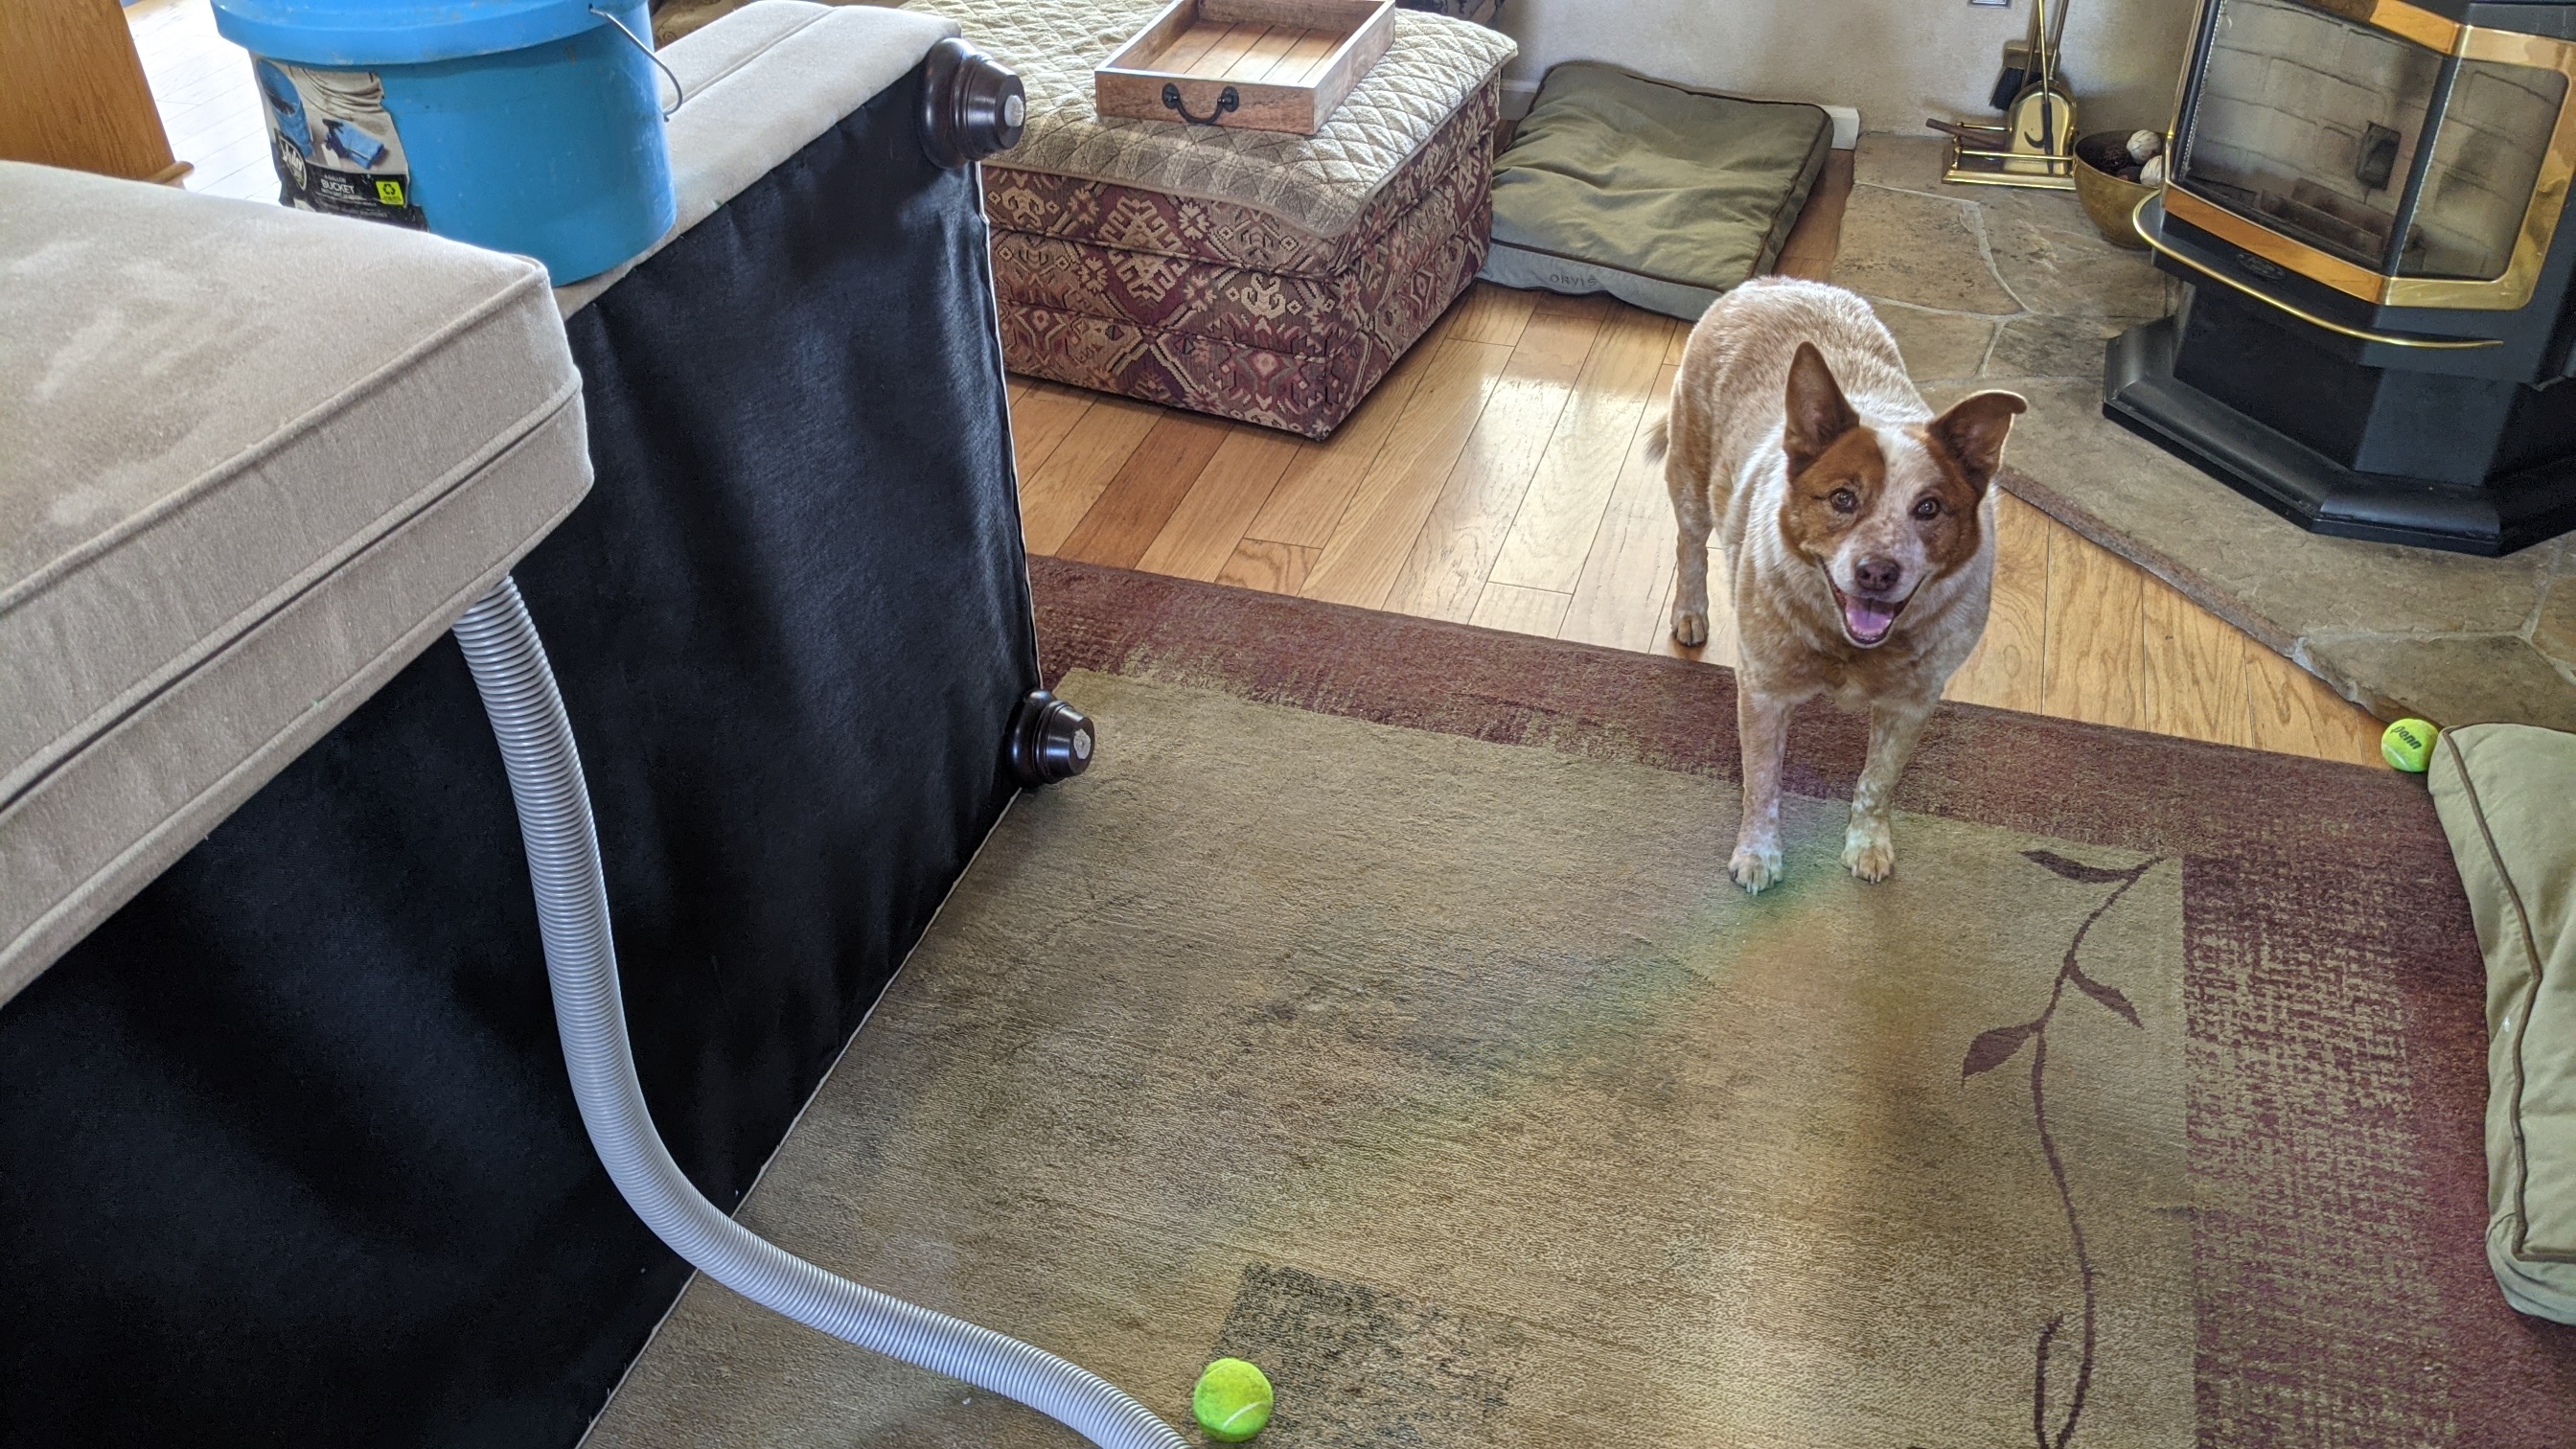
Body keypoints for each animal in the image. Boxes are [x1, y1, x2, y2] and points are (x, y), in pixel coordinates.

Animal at [1652, 279, 2026, 893]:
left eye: (1929, 508)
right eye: (1843, 498)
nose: (1878, 570)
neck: (1853, 649)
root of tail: (1772, 282)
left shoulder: (1913, 703)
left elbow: (1877, 782)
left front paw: (1868, 846)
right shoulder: (1763, 690)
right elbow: (1763, 784)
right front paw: (1758, 855)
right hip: (1689, 473)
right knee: (1689, 544)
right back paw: (1689, 614)